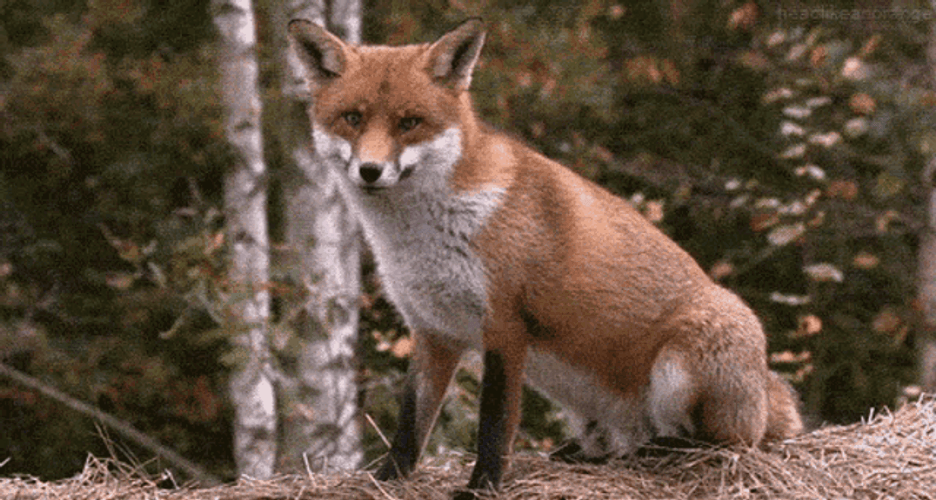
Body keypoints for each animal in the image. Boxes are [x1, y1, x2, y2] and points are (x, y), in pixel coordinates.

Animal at [287, 17, 803, 499]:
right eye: (353, 118)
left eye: (409, 122)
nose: (370, 170)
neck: (423, 234)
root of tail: (765, 391)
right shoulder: (433, 331)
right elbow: (410, 426)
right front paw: (386, 480)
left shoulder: (505, 326)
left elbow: (494, 427)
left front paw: (482, 488)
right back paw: (590, 456)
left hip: (688, 360)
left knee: (721, 444)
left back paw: (659, 451)